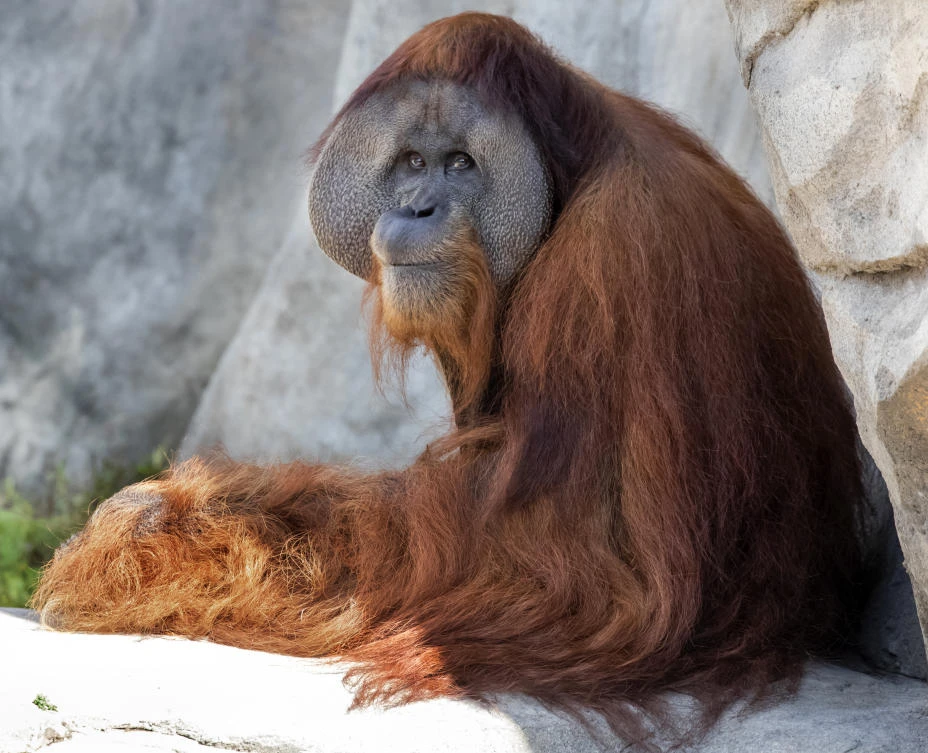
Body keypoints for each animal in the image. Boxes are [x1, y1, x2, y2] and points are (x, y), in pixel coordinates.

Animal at [33, 12, 866, 743]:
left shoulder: (620, 256)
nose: (417, 207)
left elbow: (564, 550)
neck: (566, 186)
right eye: (410, 162)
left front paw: (156, 524)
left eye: (461, 164)